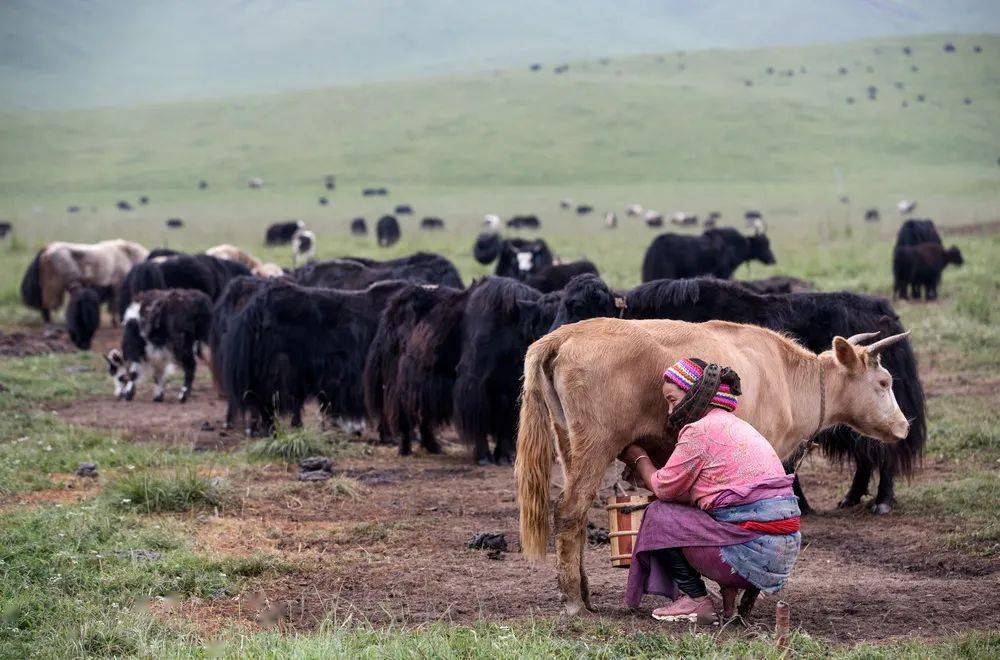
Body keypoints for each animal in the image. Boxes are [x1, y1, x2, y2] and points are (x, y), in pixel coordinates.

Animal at [520, 318, 912, 616]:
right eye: (884, 382)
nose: (903, 426)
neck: (786, 377)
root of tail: (568, 334)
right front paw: (740, 600)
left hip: (568, 443)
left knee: (578, 516)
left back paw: (584, 595)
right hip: (595, 445)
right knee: (570, 512)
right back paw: (574, 603)